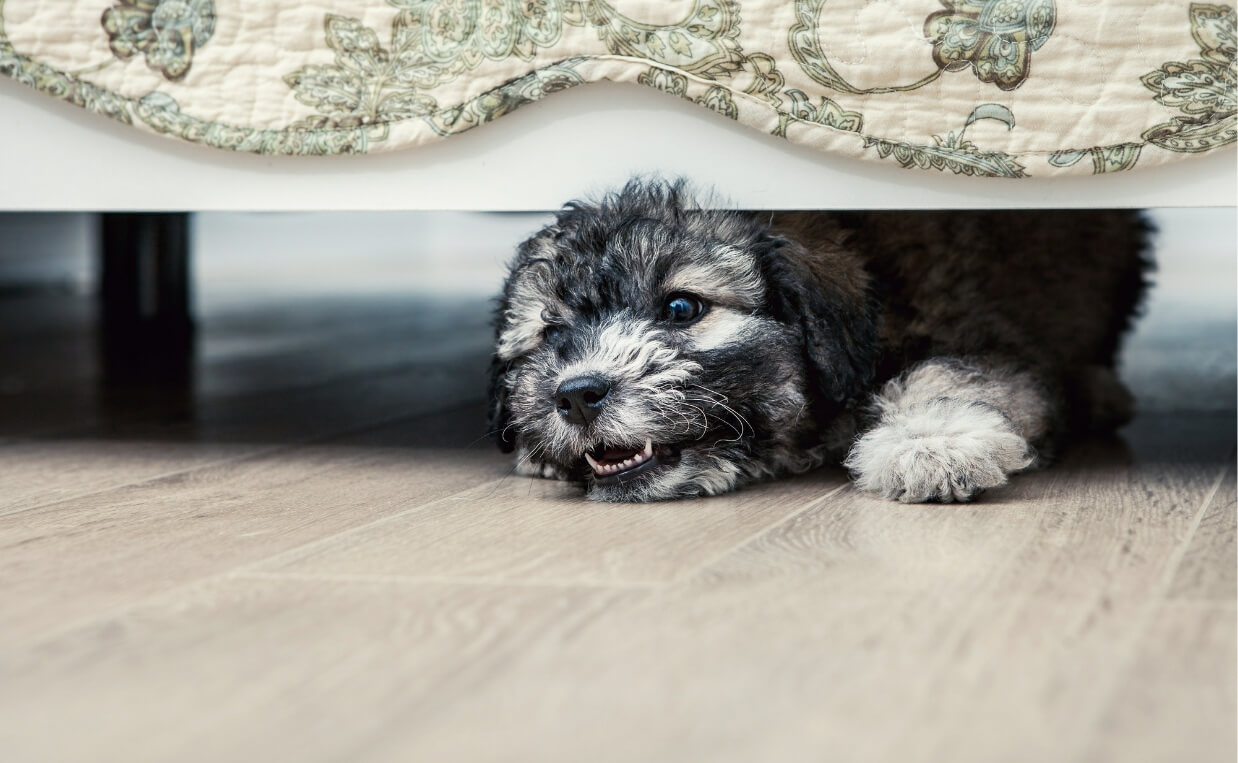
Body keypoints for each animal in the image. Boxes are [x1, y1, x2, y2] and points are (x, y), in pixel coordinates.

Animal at [485, 178, 1148, 500]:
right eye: (549, 330)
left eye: (681, 307)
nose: (576, 394)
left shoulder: (982, 335)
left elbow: (953, 373)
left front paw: (930, 445)